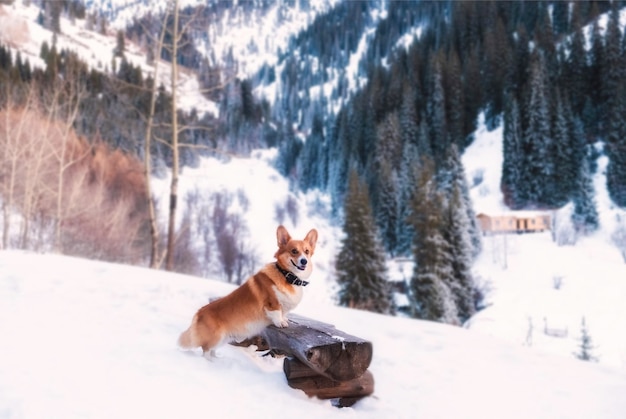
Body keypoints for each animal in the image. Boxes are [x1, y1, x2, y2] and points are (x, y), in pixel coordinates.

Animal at [179, 226, 316, 358]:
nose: (304, 261)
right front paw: (281, 323)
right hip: (216, 337)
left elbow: (283, 313)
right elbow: (277, 313)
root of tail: (198, 313)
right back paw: (208, 362)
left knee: (212, 350)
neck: (287, 276)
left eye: (307, 251)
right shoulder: (272, 303)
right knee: (206, 350)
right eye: (294, 251)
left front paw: (285, 319)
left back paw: (215, 360)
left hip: (223, 339)